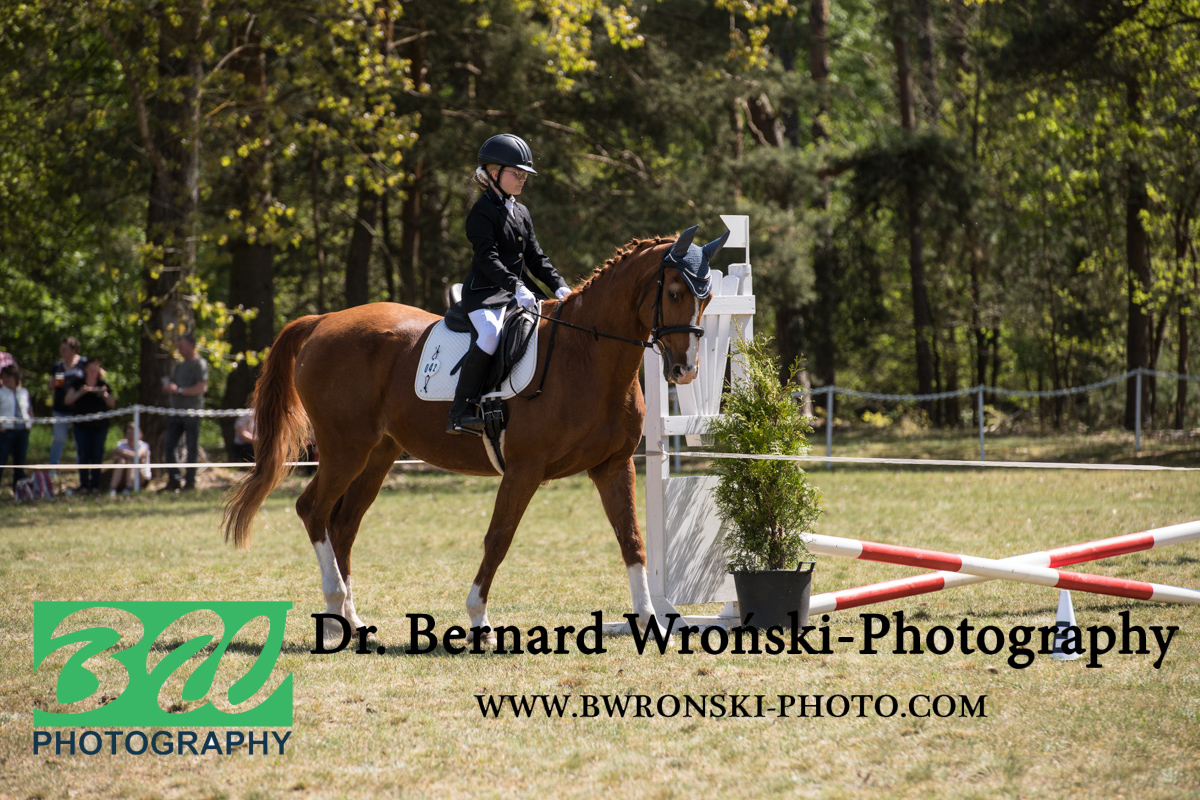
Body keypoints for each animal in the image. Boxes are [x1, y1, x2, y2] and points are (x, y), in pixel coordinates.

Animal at [223, 227, 728, 644]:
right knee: (313, 509)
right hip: (345, 449)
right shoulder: (525, 469)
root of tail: (322, 321)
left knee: (343, 524)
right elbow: (499, 538)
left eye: (706, 300)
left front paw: (648, 620)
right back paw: (333, 610)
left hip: (378, 454)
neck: (586, 354)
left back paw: (350, 620)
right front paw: (478, 620)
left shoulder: (612, 466)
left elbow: (632, 540)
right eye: (675, 292)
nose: (684, 370)